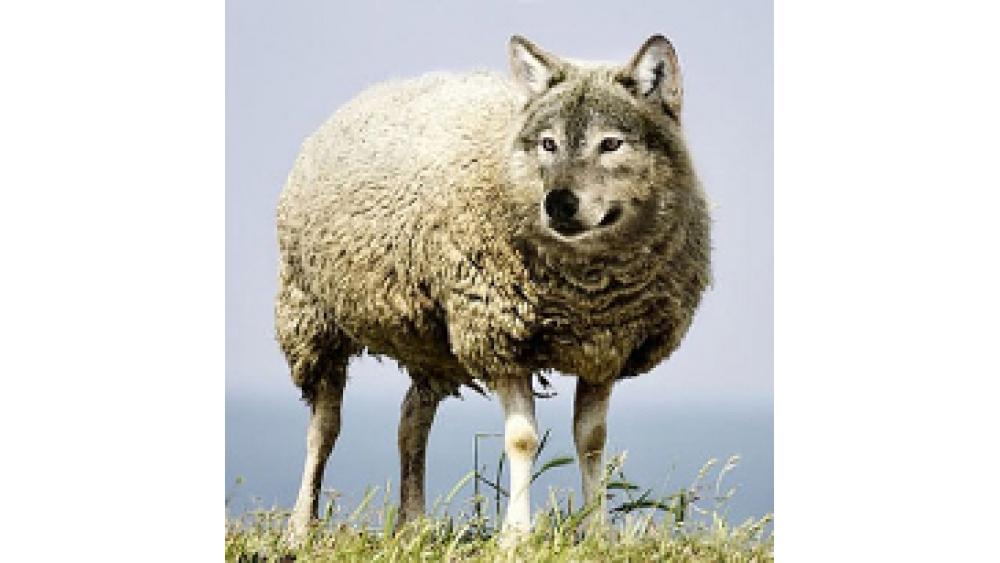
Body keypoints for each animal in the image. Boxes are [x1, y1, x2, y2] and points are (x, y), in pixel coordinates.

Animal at [276, 34, 711, 541]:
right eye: (548, 143)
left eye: (611, 144)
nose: (559, 203)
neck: (585, 291)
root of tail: (376, 89)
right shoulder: (499, 338)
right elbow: (522, 440)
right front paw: (517, 536)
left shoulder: (604, 349)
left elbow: (591, 441)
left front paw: (597, 531)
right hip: (310, 315)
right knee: (323, 428)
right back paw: (300, 527)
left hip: (431, 343)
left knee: (412, 422)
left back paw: (412, 524)